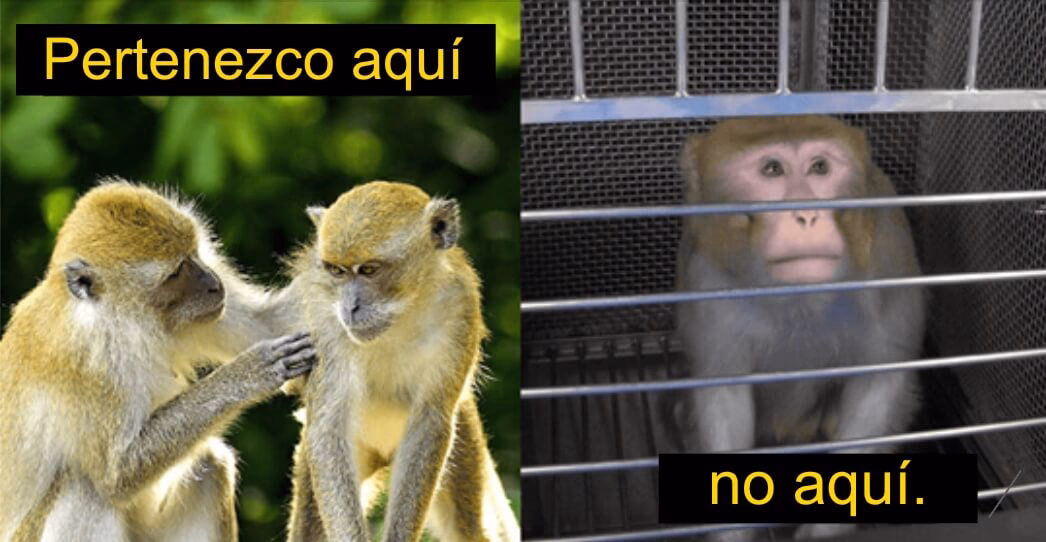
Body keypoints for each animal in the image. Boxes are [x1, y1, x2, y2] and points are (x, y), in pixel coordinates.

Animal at [0, 180, 317, 542]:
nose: (214, 283)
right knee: (87, 488)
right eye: (177, 272)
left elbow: (267, 322)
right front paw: (252, 372)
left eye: (194, 254)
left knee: (208, 464)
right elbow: (117, 475)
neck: (118, 320)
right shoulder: (86, 362)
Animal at [282, 181, 519, 542]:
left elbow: (430, 421)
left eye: (369, 270)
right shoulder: (325, 319)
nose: (349, 308)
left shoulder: (460, 308)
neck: (403, 312)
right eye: (337, 271)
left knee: (471, 526)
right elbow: (327, 426)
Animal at [672, 116, 926, 540]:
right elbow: (724, 392)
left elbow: (878, 382)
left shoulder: (887, 256)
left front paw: (821, 532)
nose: (806, 215)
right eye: (771, 169)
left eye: (820, 167)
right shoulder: (705, 274)